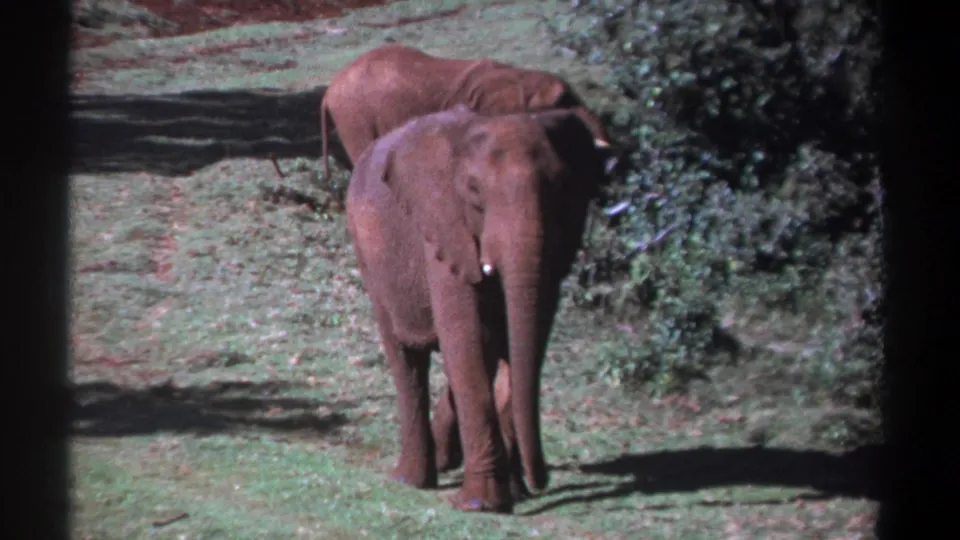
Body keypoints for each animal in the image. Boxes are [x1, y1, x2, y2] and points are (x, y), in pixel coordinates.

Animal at [345, 103, 609, 513]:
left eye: (562, 189)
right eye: (474, 193)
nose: (542, 480)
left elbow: (518, 343)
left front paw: (512, 493)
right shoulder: (443, 229)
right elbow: (467, 338)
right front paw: (481, 504)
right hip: (369, 253)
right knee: (407, 357)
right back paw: (410, 479)